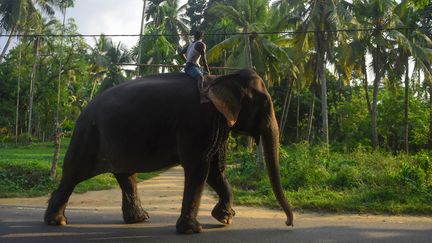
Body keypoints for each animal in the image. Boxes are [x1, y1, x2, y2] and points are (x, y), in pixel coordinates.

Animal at [44, 68, 294, 234]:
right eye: (265, 104)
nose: (288, 223)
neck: (220, 78)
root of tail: (83, 110)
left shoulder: (217, 124)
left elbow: (215, 171)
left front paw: (224, 219)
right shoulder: (197, 122)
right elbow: (199, 167)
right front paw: (194, 230)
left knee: (126, 176)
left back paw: (139, 220)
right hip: (88, 136)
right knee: (73, 175)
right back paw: (57, 222)